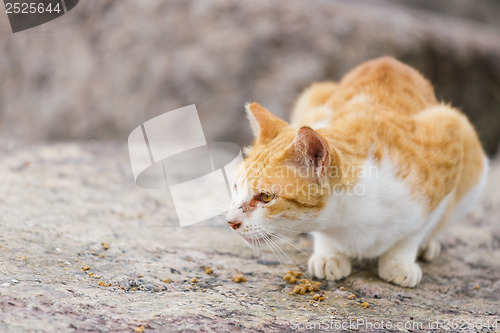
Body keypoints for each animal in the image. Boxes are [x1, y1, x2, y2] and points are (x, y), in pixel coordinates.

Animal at [227, 55, 488, 286]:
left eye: (266, 197)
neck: (348, 219)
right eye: (236, 187)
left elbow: (415, 231)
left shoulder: (448, 133)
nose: (230, 222)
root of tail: (388, 59)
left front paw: (400, 260)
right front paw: (330, 255)